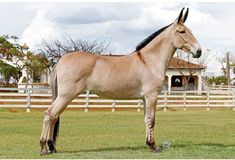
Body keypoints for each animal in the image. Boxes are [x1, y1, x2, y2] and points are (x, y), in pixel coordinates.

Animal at [39, 7, 201, 155]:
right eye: (182, 31)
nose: (198, 51)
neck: (148, 61)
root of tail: (60, 61)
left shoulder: (145, 98)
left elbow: (146, 120)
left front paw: (148, 144)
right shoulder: (152, 96)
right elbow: (151, 120)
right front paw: (154, 146)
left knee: (54, 117)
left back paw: (51, 147)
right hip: (66, 96)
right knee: (49, 115)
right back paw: (44, 148)